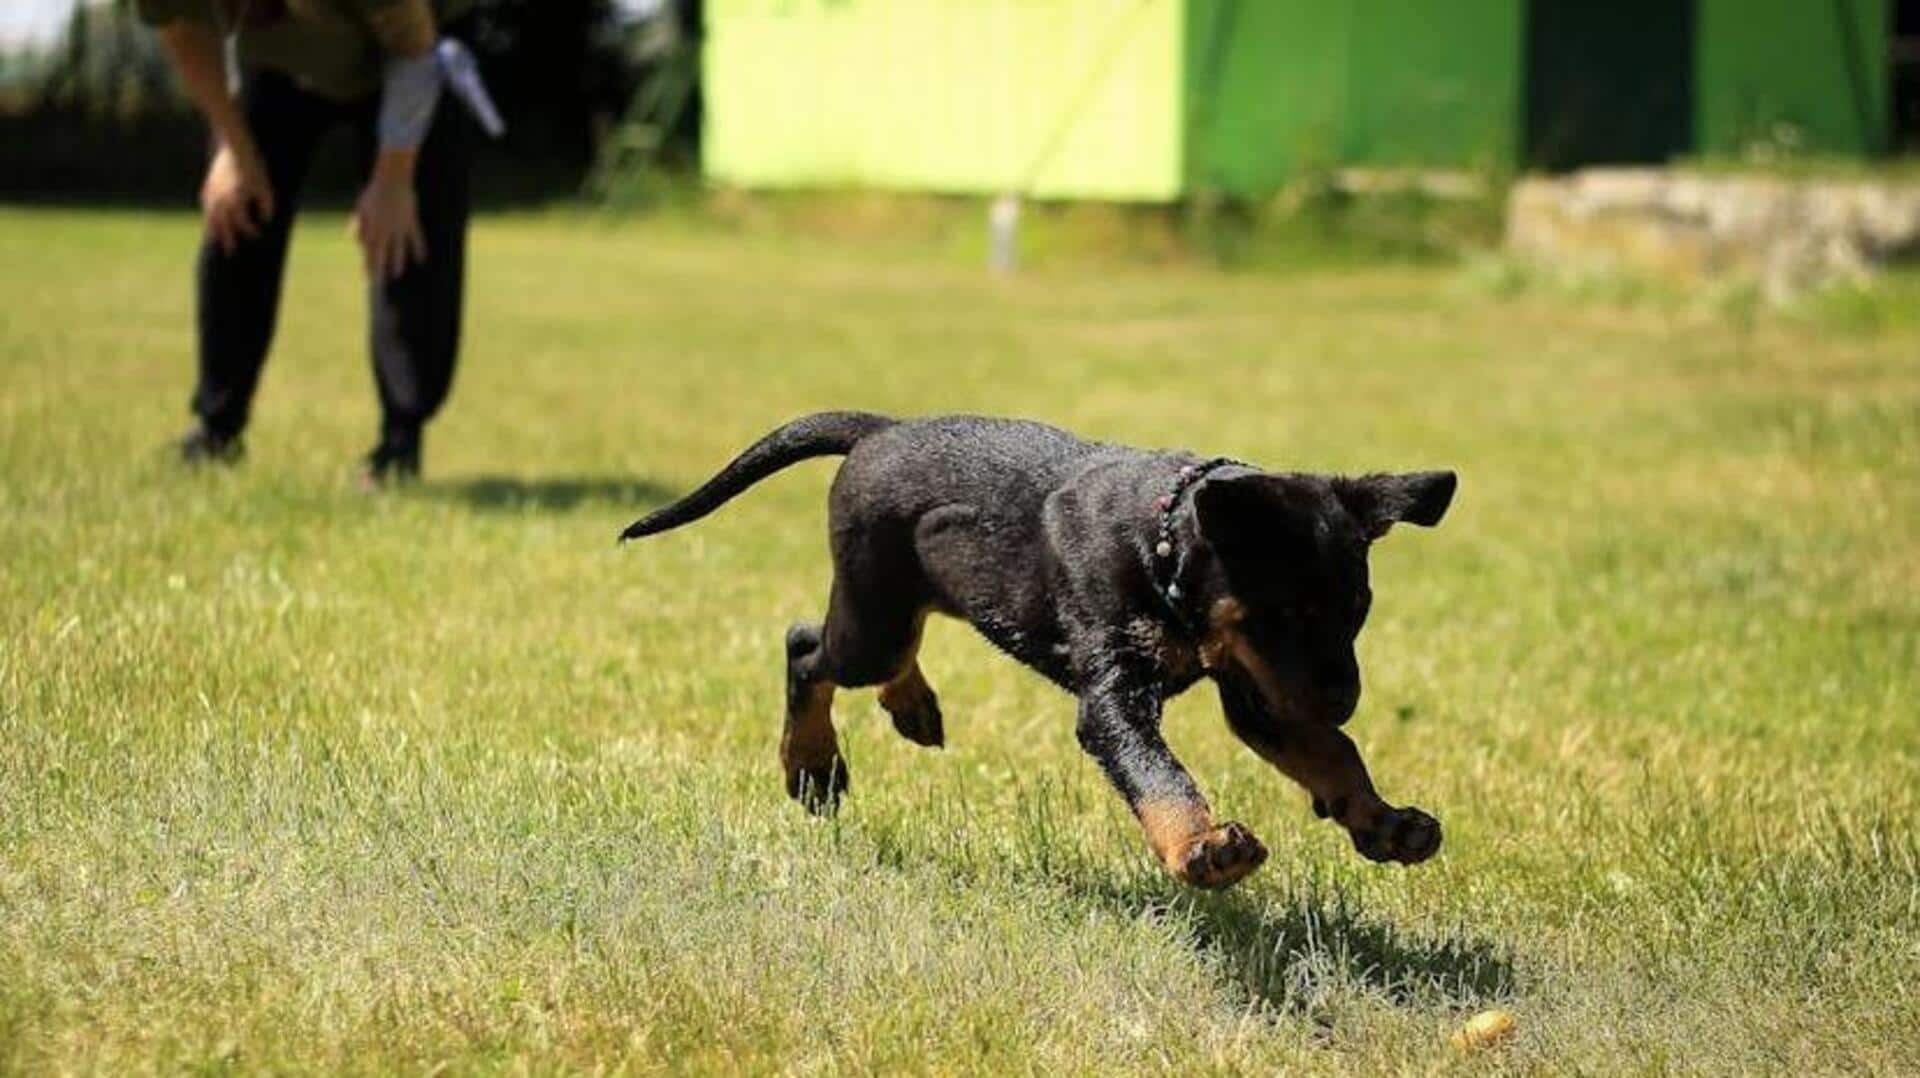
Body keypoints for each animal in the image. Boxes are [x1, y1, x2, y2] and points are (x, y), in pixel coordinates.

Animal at [625, 409, 1451, 883]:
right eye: (1283, 613)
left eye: (1357, 610)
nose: (1344, 698)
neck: (1162, 545)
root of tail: (880, 429)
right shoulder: (1118, 697)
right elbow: (1160, 775)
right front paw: (1203, 848)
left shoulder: (1260, 692)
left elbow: (1331, 753)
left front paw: (1384, 822)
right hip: (872, 617)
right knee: (807, 648)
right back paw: (812, 766)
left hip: (908, 600)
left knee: (888, 648)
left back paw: (912, 707)